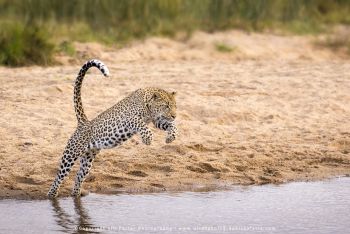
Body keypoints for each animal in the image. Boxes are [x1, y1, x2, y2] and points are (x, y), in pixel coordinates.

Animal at [47, 59, 178, 197]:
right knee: (59, 176)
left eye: (175, 106)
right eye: (166, 106)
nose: (174, 115)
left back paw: (76, 194)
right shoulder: (129, 119)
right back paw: (52, 194)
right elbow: (140, 124)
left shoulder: (156, 120)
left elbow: (171, 125)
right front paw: (148, 139)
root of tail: (84, 123)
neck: (148, 105)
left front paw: (170, 137)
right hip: (71, 154)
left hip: (88, 159)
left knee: (79, 176)